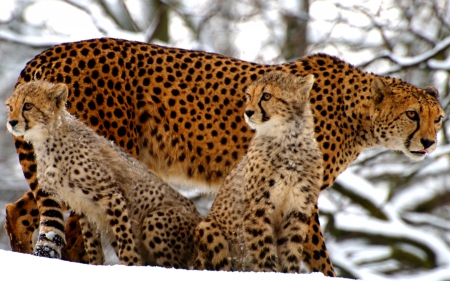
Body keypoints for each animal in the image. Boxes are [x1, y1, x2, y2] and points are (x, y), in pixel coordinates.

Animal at [5, 80, 201, 266]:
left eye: (28, 105)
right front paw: (96, 266)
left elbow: (125, 241)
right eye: (11, 107)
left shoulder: (112, 195)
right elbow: (92, 246)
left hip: (154, 219)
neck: (47, 138)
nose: (11, 122)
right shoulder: (82, 207)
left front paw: (132, 266)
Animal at [193, 71, 324, 272]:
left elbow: (290, 251)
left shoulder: (297, 210)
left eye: (267, 96)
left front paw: (290, 272)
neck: (288, 141)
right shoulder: (258, 207)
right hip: (209, 228)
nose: (247, 112)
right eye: (249, 96)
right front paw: (267, 272)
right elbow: (263, 251)